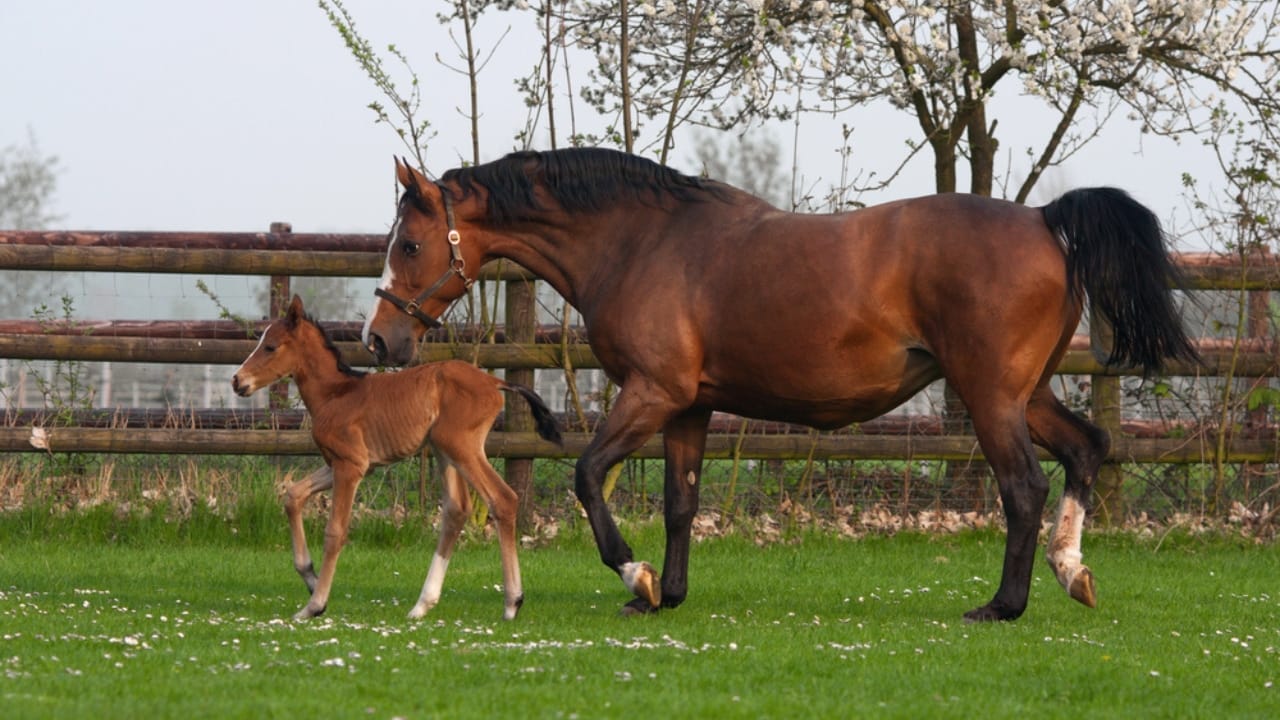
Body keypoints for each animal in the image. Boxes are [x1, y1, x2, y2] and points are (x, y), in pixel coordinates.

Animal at [232, 295, 561, 621]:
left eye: (270, 346)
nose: (237, 381)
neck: (335, 394)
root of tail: (494, 383)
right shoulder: (347, 464)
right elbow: (293, 496)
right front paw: (310, 578)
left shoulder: (350, 466)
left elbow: (335, 531)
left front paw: (315, 604)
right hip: (444, 450)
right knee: (457, 509)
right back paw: (422, 605)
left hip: (461, 446)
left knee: (502, 498)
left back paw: (512, 602)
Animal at [360, 148, 1198, 622]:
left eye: (410, 245)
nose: (379, 339)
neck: (643, 242)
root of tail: (1044, 220)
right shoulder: (690, 408)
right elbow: (681, 503)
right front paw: (665, 594)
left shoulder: (652, 393)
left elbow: (588, 474)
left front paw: (634, 573)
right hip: (1026, 394)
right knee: (1087, 450)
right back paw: (1073, 572)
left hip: (990, 398)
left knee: (1024, 487)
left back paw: (1004, 605)